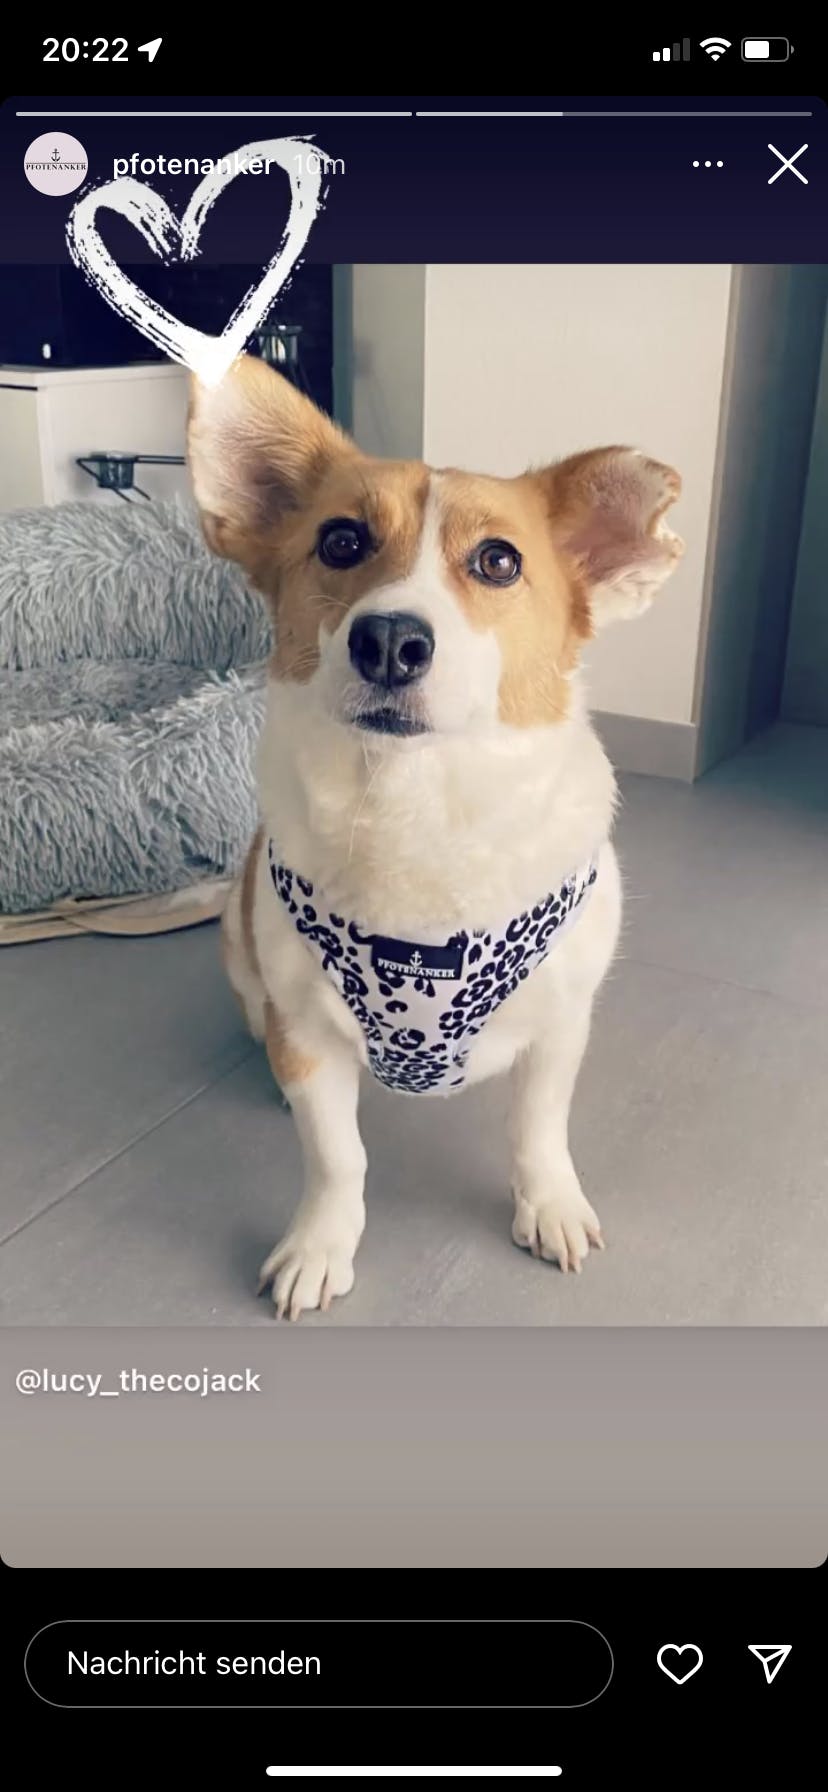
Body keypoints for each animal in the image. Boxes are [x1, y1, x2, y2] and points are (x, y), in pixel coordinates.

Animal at [188, 354, 683, 1318]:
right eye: (341, 542)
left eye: (498, 561)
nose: (389, 640)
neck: (413, 806)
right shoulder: (310, 1038)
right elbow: (337, 1159)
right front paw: (321, 1244)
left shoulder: (560, 1027)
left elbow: (538, 1130)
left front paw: (548, 1205)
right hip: (235, 931)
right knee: (255, 1011)